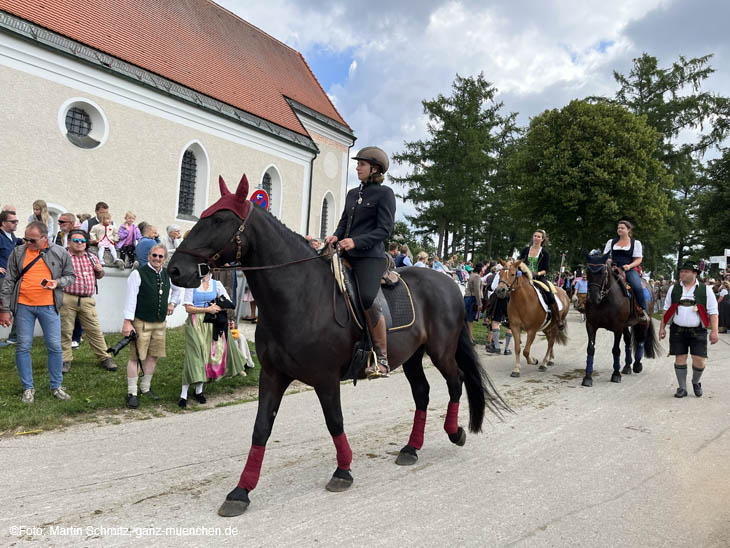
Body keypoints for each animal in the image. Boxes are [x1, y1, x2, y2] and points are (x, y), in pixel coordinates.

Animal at [166, 177, 510, 520]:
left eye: (220, 220)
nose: (175, 270)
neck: (300, 296)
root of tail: (449, 283)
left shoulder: (326, 378)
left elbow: (335, 421)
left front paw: (343, 471)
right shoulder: (273, 375)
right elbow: (261, 428)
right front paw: (241, 491)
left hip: (440, 351)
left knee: (455, 382)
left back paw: (454, 432)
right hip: (413, 356)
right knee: (423, 393)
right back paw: (411, 448)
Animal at [580, 255, 660, 388]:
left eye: (603, 272)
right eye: (588, 271)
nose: (594, 298)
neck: (605, 300)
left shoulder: (617, 328)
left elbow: (616, 350)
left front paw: (616, 375)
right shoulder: (591, 325)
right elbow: (590, 349)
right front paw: (587, 377)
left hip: (643, 322)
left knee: (641, 340)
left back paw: (637, 365)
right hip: (625, 325)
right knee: (628, 341)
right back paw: (627, 366)